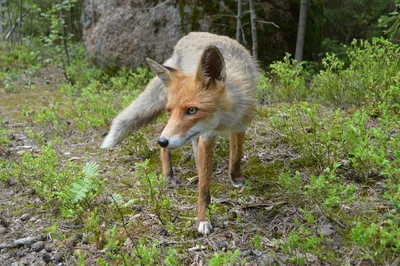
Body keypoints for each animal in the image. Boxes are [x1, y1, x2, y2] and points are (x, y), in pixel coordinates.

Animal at [103, 31, 258, 235]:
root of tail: (187, 36)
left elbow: (236, 156)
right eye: (170, 110)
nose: (162, 141)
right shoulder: (206, 136)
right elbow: (204, 189)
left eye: (192, 110)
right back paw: (169, 176)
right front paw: (203, 219)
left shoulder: (240, 125)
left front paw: (235, 177)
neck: (224, 121)